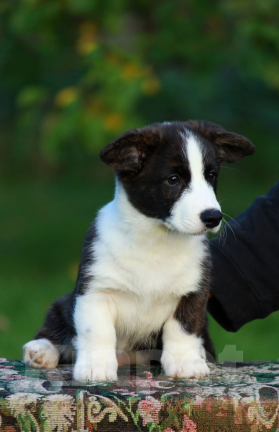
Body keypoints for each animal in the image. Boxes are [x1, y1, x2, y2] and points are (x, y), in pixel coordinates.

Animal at [23, 120, 256, 380]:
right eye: (173, 179)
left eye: (211, 176)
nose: (213, 217)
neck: (156, 239)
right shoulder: (95, 291)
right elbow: (97, 331)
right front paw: (95, 368)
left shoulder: (193, 293)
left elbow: (184, 328)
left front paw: (186, 362)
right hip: (64, 302)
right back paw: (42, 350)